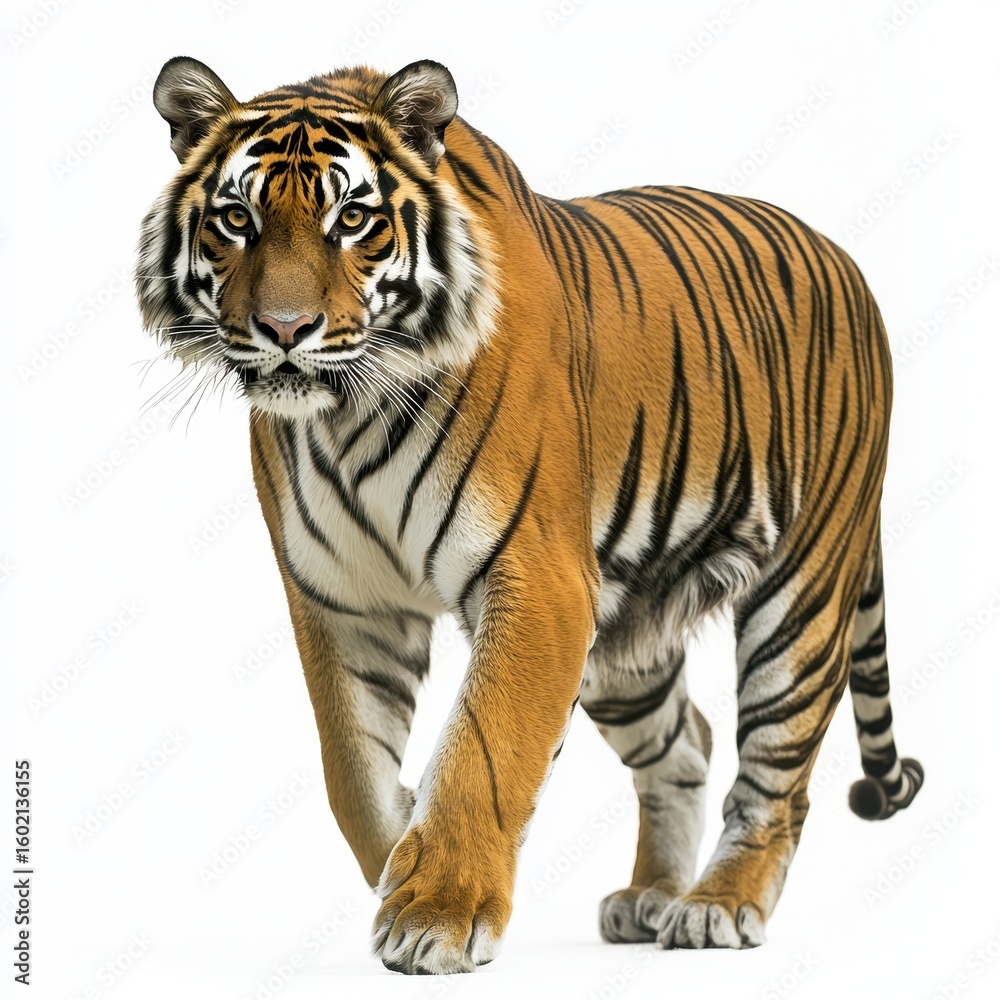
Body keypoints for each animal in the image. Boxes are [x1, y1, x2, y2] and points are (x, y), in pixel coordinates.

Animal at [136, 56, 924, 974]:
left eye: (353, 220)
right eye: (238, 219)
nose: (285, 330)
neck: (349, 409)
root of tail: (844, 258)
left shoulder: (538, 580)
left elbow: (484, 749)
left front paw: (437, 912)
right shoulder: (342, 601)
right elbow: (352, 774)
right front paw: (401, 848)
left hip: (801, 596)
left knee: (776, 772)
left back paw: (718, 905)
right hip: (621, 638)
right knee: (686, 739)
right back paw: (651, 896)